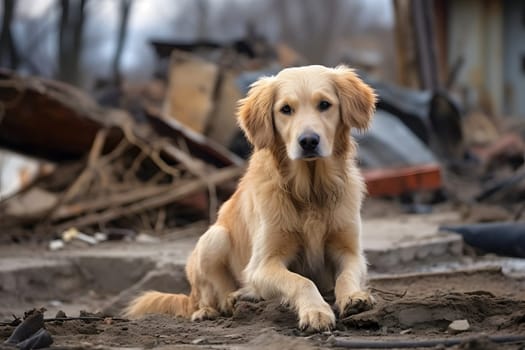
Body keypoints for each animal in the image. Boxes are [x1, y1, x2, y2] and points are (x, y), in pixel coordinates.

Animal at [125, 65, 374, 330]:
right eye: (286, 109)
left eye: (325, 104)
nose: (308, 141)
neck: (310, 191)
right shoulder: (262, 265)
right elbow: (301, 281)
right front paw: (315, 311)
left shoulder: (351, 252)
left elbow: (346, 275)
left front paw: (354, 297)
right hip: (214, 238)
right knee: (210, 295)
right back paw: (217, 306)